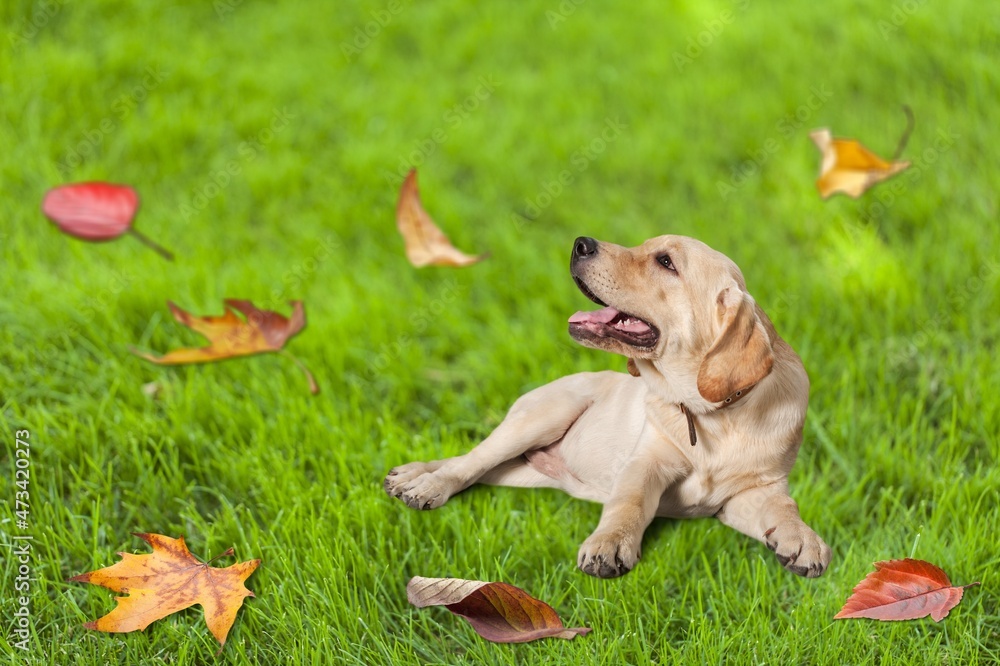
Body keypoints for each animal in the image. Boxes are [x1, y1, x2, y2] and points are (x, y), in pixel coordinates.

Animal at [386, 235, 832, 576]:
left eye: (666, 262)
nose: (580, 243)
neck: (712, 415)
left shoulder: (752, 492)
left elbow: (786, 506)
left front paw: (802, 539)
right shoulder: (647, 459)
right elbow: (629, 502)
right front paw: (610, 544)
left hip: (524, 471)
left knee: (482, 467)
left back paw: (411, 476)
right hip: (545, 415)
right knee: (470, 460)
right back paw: (422, 483)